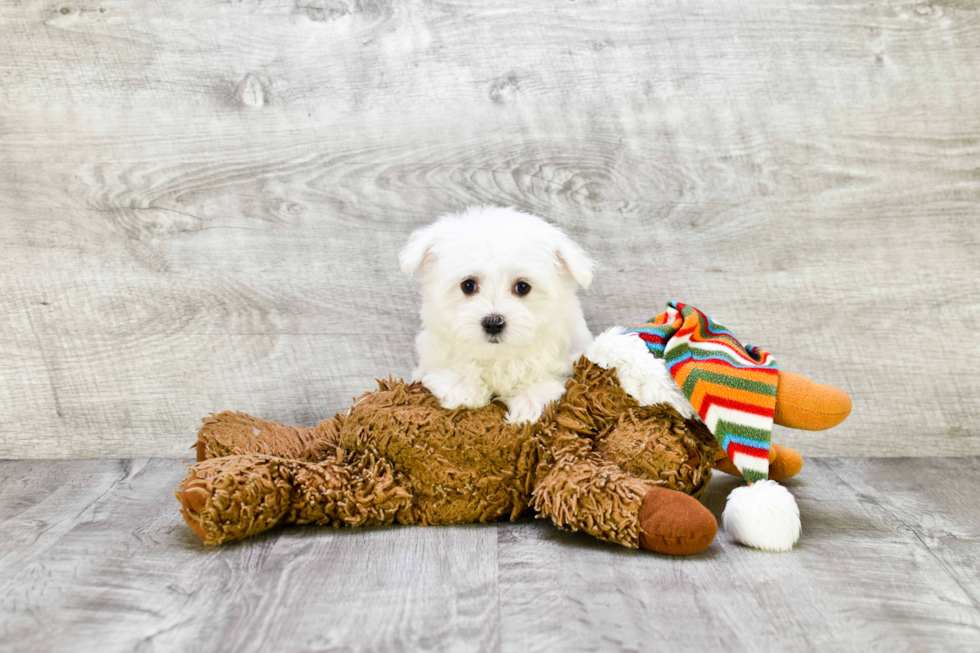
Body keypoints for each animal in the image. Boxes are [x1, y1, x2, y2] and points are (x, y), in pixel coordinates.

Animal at [398, 206, 596, 426]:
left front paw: (529, 404)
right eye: (468, 285)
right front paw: (462, 386)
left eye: (523, 287)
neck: (497, 356)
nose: (493, 323)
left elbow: (544, 379)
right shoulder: (433, 356)